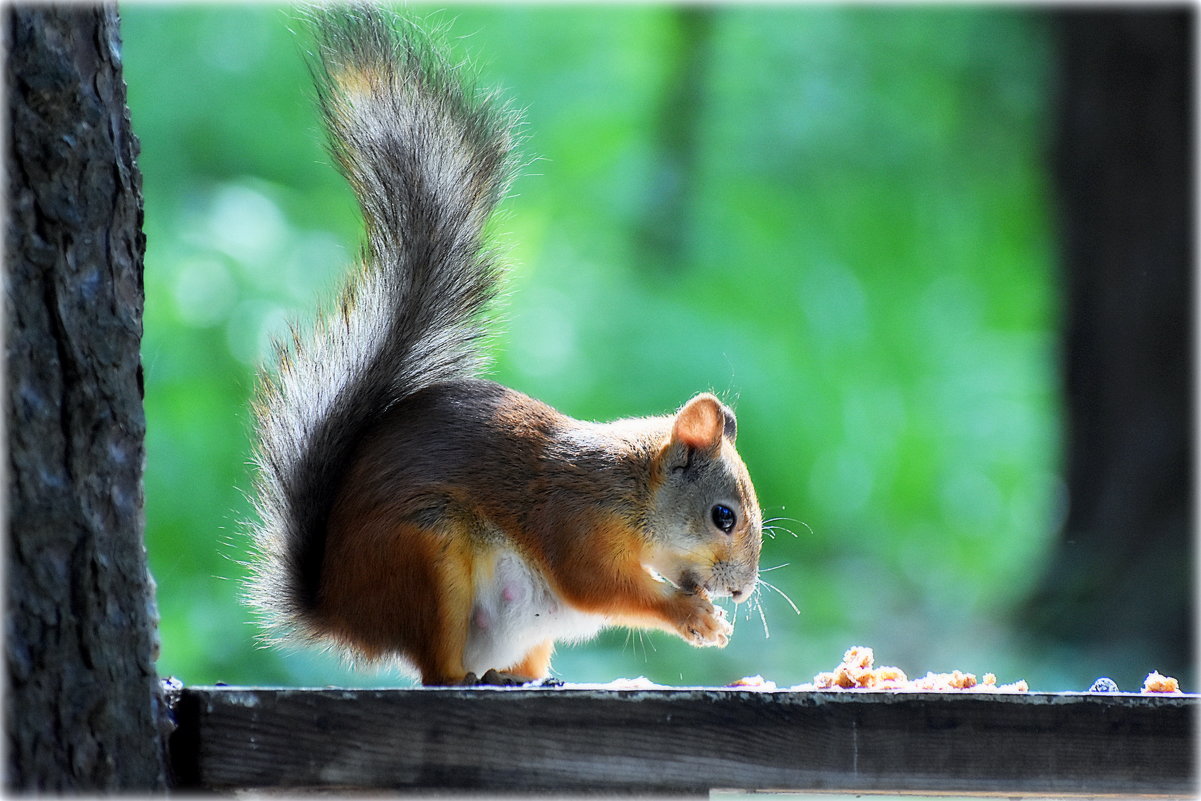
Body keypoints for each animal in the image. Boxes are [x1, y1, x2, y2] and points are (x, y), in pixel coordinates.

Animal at [248, 4, 763, 691]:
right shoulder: (574, 523)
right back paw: (472, 679)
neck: (632, 491)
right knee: (437, 671)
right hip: (428, 557)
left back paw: (528, 677)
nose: (741, 591)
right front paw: (694, 616)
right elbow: (600, 589)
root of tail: (342, 610)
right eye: (722, 516)